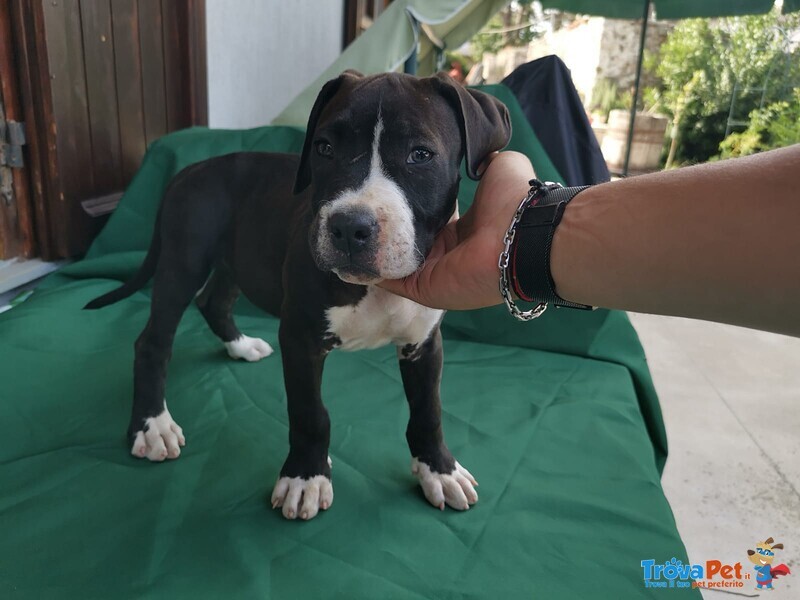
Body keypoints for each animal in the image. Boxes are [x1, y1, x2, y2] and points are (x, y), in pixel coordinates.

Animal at [86, 71, 512, 520]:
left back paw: (240, 346)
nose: (349, 227)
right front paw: (305, 477)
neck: (373, 288)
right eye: (324, 148)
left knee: (213, 302)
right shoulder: (299, 339)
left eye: (420, 155)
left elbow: (428, 410)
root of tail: (188, 172)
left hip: (237, 259)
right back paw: (153, 426)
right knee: (153, 341)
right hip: (182, 262)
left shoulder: (424, 343)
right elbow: (311, 414)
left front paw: (439, 470)